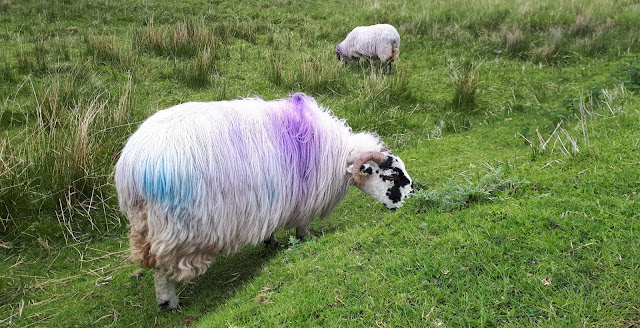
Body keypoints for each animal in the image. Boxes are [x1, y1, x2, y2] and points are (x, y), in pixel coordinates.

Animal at [115, 93, 416, 310]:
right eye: (392, 175)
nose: (413, 201)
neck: (339, 155)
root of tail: (131, 167)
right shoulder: (302, 197)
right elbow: (303, 224)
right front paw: (306, 238)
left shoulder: (272, 201)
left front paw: (270, 240)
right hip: (174, 228)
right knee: (162, 266)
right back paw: (169, 301)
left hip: (145, 222)